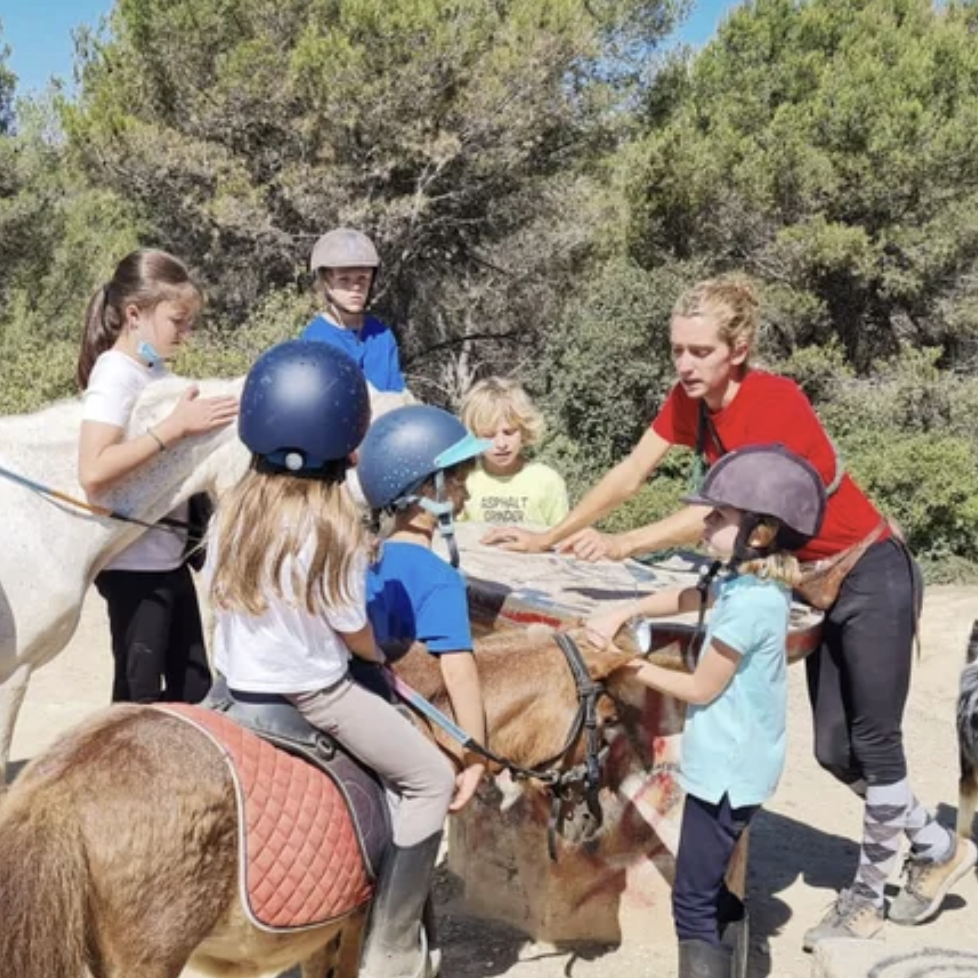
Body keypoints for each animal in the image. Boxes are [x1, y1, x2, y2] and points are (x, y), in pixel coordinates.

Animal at [0, 624, 656, 976]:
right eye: (608, 719)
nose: (590, 819)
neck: (434, 719)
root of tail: (59, 792)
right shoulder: (357, 917)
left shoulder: (322, 925)